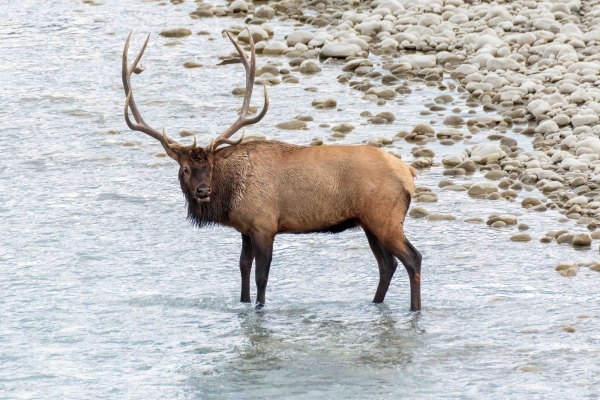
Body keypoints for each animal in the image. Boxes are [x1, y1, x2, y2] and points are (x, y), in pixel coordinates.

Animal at [122, 30, 422, 312]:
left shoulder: (264, 225)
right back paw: (376, 304)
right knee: (387, 265)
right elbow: (243, 267)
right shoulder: (245, 229)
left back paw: (414, 309)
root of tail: (409, 173)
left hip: (385, 217)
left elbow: (261, 276)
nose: (203, 191)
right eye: (184, 168)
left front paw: (260, 307)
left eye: (210, 166)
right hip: (369, 222)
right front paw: (244, 303)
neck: (231, 196)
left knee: (412, 258)